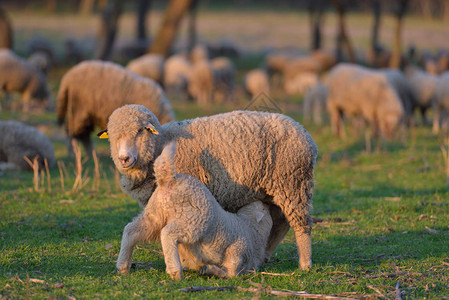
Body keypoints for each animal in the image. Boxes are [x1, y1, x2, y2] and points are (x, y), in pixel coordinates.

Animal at [115, 142, 272, 278]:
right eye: (264, 208)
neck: (251, 230)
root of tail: (170, 179)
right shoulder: (237, 251)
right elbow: (231, 273)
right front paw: (211, 270)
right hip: (191, 219)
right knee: (167, 233)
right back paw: (175, 271)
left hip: (154, 214)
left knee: (131, 230)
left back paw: (123, 266)